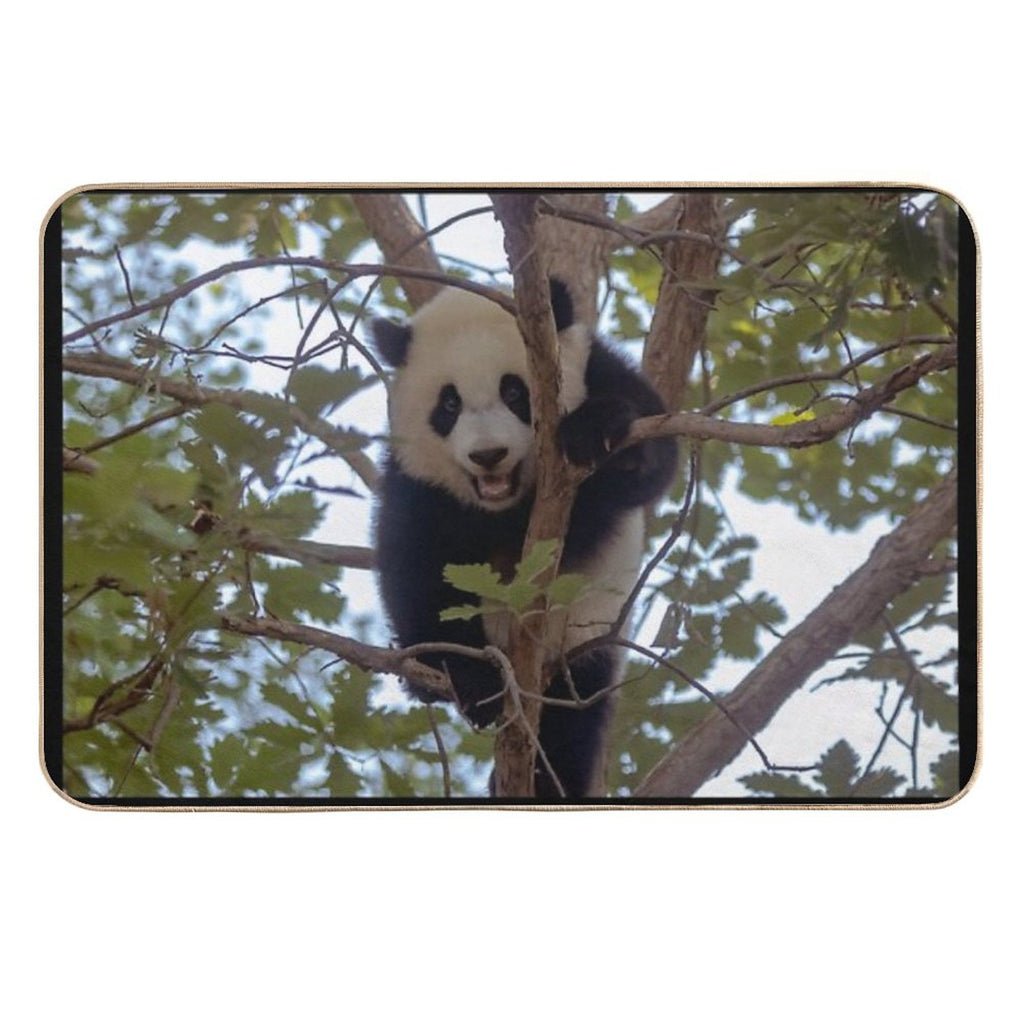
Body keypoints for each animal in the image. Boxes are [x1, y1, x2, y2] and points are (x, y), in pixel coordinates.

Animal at [370, 278, 677, 799]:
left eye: (514, 390)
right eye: (449, 404)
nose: (488, 455)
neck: (506, 506)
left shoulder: (600, 369)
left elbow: (653, 457)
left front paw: (599, 433)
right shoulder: (416, 482)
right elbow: (416, 566)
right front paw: (473, 683)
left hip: (582, 640)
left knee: (569, 724)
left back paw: (547, 782)